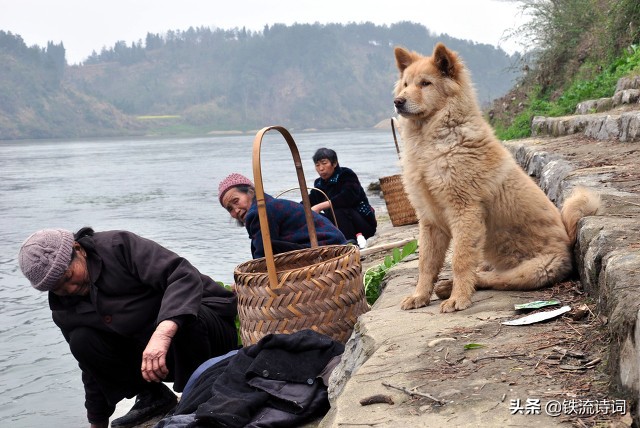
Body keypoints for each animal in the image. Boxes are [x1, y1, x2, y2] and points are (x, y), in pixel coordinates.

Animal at [390, 43, 600, 312]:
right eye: (405, 84)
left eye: (425, 83)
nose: (398, 102)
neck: (432, 142)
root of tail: (568, 242)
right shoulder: (429, 219)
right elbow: (426, 264)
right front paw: (419, 296)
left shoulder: (464, 210)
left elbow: (460, 260)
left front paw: (458, 299)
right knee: (481, 268)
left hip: (528, 271)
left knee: (493, 278)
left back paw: (452, 288)